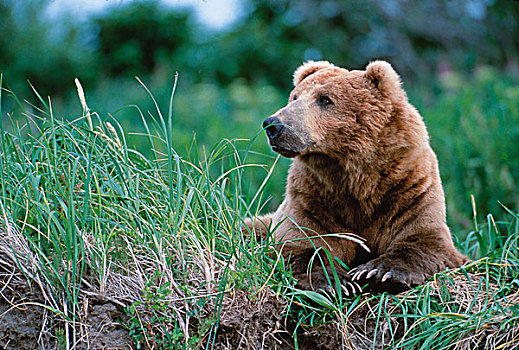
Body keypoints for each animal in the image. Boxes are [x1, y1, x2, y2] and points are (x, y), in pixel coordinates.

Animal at [246, 60, 470, 296]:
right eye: (295, 96)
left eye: (325, 99)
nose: (273, 125)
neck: (356, 177)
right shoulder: (313, 197)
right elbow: (301, 243)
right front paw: (337, 282)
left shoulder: (409, 186)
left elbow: (424, 239)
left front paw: (377, 272)